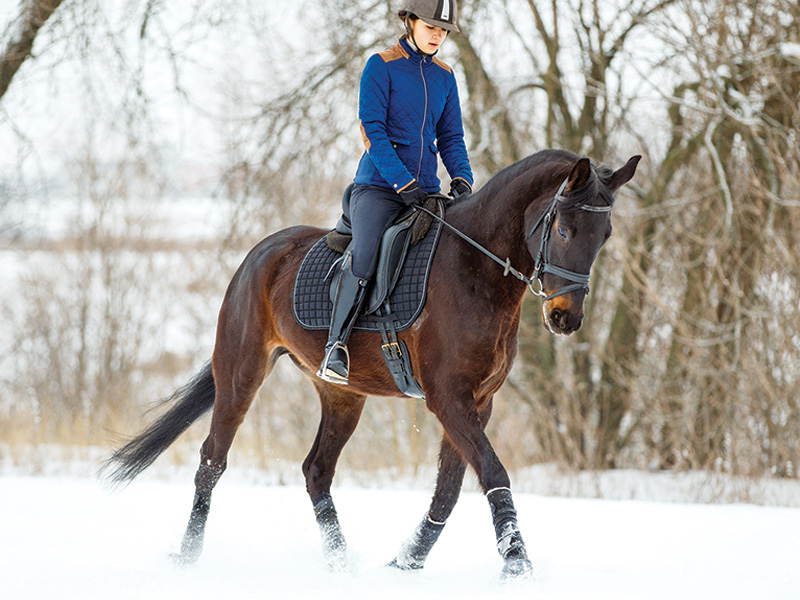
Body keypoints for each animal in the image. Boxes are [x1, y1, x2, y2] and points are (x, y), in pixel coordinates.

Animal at [104, 148, 640, 581]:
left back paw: (342, 564)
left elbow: (449, 490)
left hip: (343, 394)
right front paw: (517, 564)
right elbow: (492, 471)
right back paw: (187, 558)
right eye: (565, 229)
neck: (476, 269)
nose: (566, 318)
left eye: (606, 235)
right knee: (212, 461)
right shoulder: (448, 399)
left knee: (316, 470)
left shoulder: (477, 401)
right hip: (241, 373)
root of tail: (262, 252)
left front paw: (406, 563)